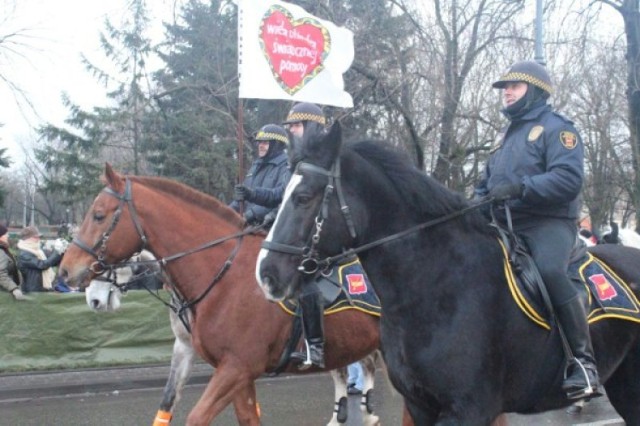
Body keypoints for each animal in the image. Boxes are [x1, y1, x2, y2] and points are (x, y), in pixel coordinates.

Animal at [58, 164, 384, 426]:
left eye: (98, 215)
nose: (65, 271)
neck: (225, 275)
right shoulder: (218, 364)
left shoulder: (237, 368)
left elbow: (196, 418)